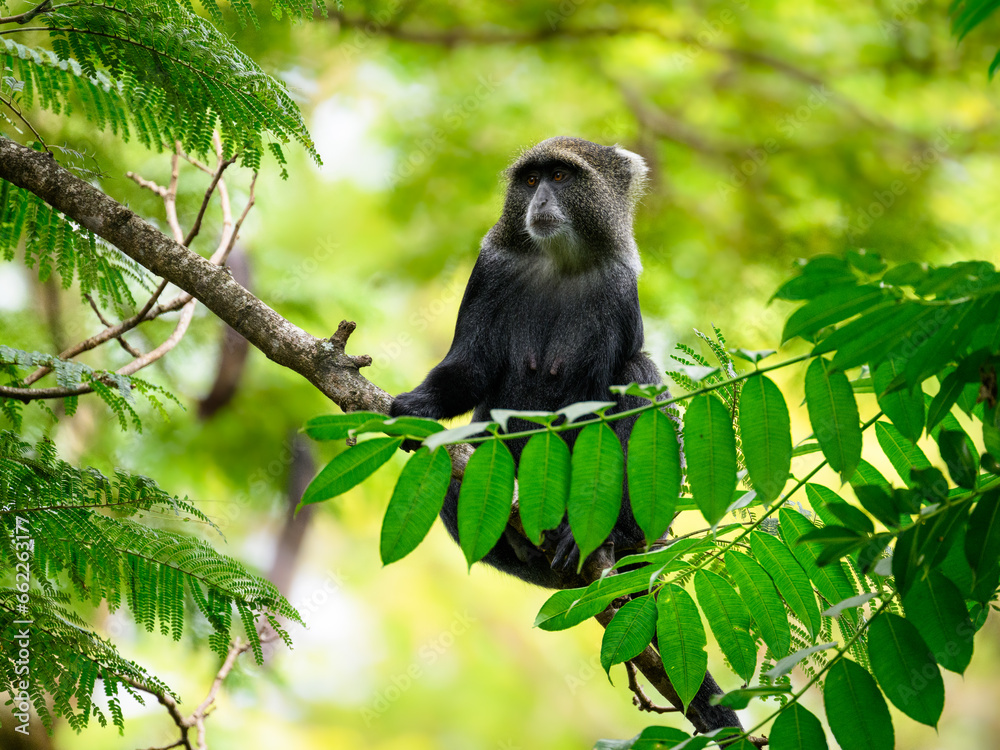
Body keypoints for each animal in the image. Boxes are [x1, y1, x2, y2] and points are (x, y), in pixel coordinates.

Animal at [390, 137, 741, 731]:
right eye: (530, 181)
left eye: (559, 176)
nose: (539, 203)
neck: (560, 260)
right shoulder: (491, 268)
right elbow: (468, 369)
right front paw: (416, 405)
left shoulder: (620, 288)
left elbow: (610, 393)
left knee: (638, 374)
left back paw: (605, 538)